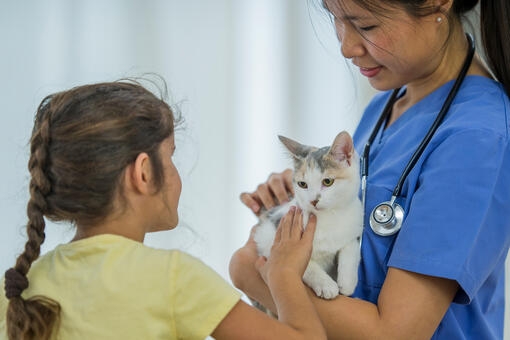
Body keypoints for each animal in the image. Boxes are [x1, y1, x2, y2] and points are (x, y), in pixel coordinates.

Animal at [255, 131, 362, 298]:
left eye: (328, 181)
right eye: (302, 184)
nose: (313, 200)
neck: (329, 217)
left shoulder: (354, 222)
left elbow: (350, 248)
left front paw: (347, 282)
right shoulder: (267, 236)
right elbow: (305, 265)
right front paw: (326, 285)